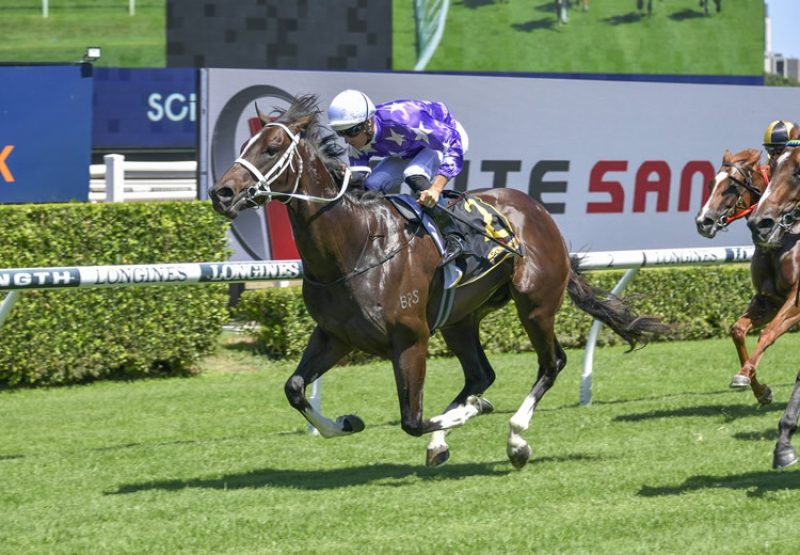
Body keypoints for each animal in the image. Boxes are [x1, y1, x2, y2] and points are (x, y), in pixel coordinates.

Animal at [208, 95, 668, 470]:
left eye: (271, 149)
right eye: (244, 147)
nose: (222, 193)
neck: (356, 248)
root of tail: (536, 209)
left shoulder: (411, 339)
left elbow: (411, 419)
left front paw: (473, 413)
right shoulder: (334, 335)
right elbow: (295, 388)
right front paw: (346, 422)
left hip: (535, 304)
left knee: (550, 363)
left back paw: (516, 439)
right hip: (460, 319)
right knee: (480, 374)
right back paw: (446, 440)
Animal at [692, 148, 776, 406]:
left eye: (731, 187)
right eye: (711, 183)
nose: (703, 222)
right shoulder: (768, 299)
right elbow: (739, 331)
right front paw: (759, 389)